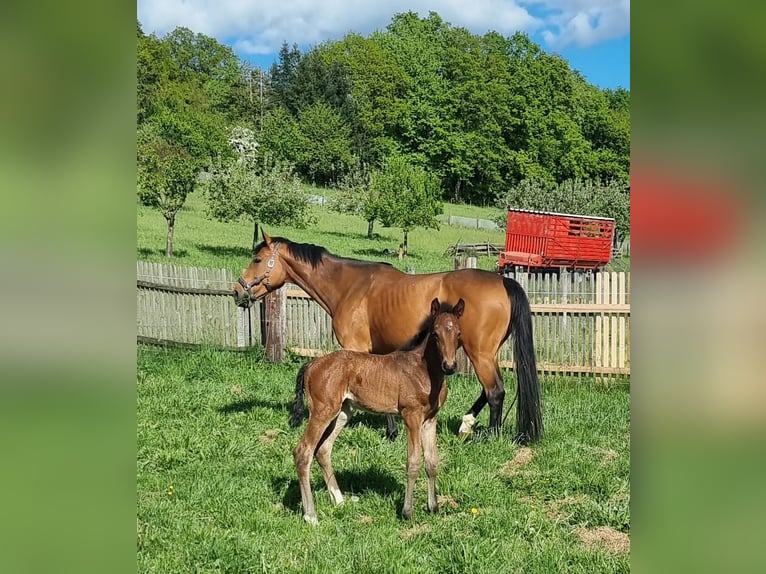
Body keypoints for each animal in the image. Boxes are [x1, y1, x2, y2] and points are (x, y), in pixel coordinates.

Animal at [233, 232, 542, 444]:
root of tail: (503, 281)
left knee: (495, 391)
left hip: (479, 353)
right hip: (486, 353)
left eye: (257, 259)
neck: (350, 285)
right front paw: (392, 430)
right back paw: (467, 424)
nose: (238, 290)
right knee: (490, 390)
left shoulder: (355, 347)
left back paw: (490, 434)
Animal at [291, 297, 464, 524]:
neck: (424, 370)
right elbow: (413, 462)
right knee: (303, 451)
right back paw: (311, 515)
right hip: (322, 411)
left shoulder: (430, 419)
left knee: (323, 449)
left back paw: (339, 501)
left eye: (458, 333)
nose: (449, 366)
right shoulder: (411, 416)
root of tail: (311, 364)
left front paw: (433, 507)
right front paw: (407, 512)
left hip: (343, 412)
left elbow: (432, 461)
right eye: (435, 334)